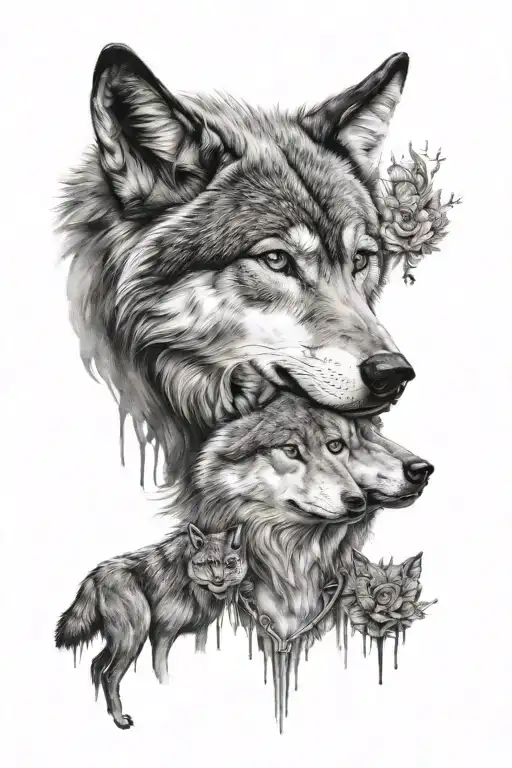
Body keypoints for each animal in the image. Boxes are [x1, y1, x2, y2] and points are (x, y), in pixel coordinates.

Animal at [55, 523, 246, 729]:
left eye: (229, 563)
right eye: (210, 562)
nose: (219, 580)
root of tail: (95, 576)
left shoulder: (201, 631)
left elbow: (200, 652)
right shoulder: (163, 634)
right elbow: (162, 672)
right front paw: (165, 688)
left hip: (120, 642)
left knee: (96, 665)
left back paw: (104, 709)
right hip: (133, 639)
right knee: (109, 674)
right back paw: (119, 719)